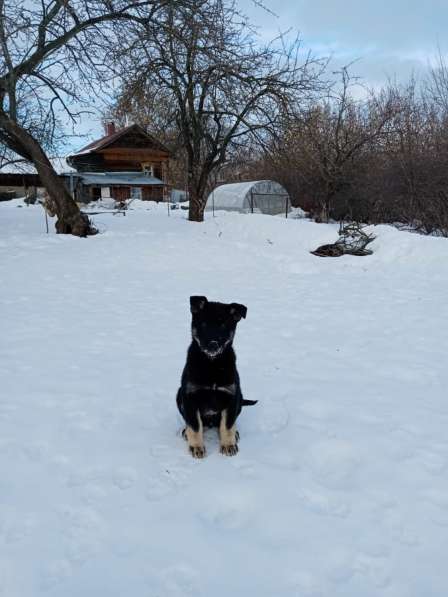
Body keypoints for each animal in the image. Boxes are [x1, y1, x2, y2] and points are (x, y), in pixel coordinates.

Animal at [177, 296, 258, 458]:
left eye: (223, 326)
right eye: (204, 324)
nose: (212, 345)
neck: (212, 365)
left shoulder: (231, 397)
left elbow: (227, 425)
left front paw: (228, 445)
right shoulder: (190, 397)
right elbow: (194, 426)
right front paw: (196, 447)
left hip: (239, 398)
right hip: (179, 395)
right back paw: (186, 431)